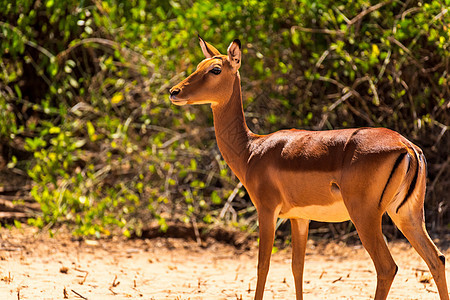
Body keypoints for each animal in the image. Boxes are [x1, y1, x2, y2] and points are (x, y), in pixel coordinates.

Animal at [168, 37, 446, 300]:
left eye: (215, 69)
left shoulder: (267, 211)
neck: (252, 150)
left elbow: (263, 265)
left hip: (365, 216)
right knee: (437, 259)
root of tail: (406, 146)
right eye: (199, 65)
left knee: (387, 267)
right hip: (407, 215)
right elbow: (297, 267)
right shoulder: (300, 217)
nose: (174, 91)